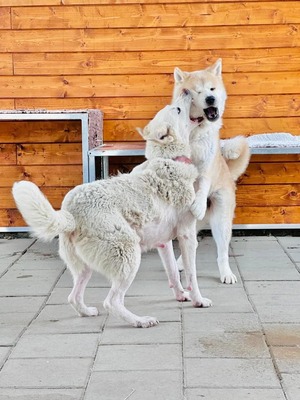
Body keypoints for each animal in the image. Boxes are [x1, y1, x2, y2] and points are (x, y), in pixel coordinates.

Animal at [12, 92, 212, 330]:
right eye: (178, 109)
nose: (187, 92)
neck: (168, 159)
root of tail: (70, 214)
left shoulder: (163, 243)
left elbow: (173, 272)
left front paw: (181, 296)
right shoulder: (187, 235)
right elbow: (191, 274)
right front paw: (198, 300)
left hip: (85, 267)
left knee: (74, 297)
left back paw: (88, 312)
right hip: (128, 254)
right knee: (112, 301)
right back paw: (140, 321)